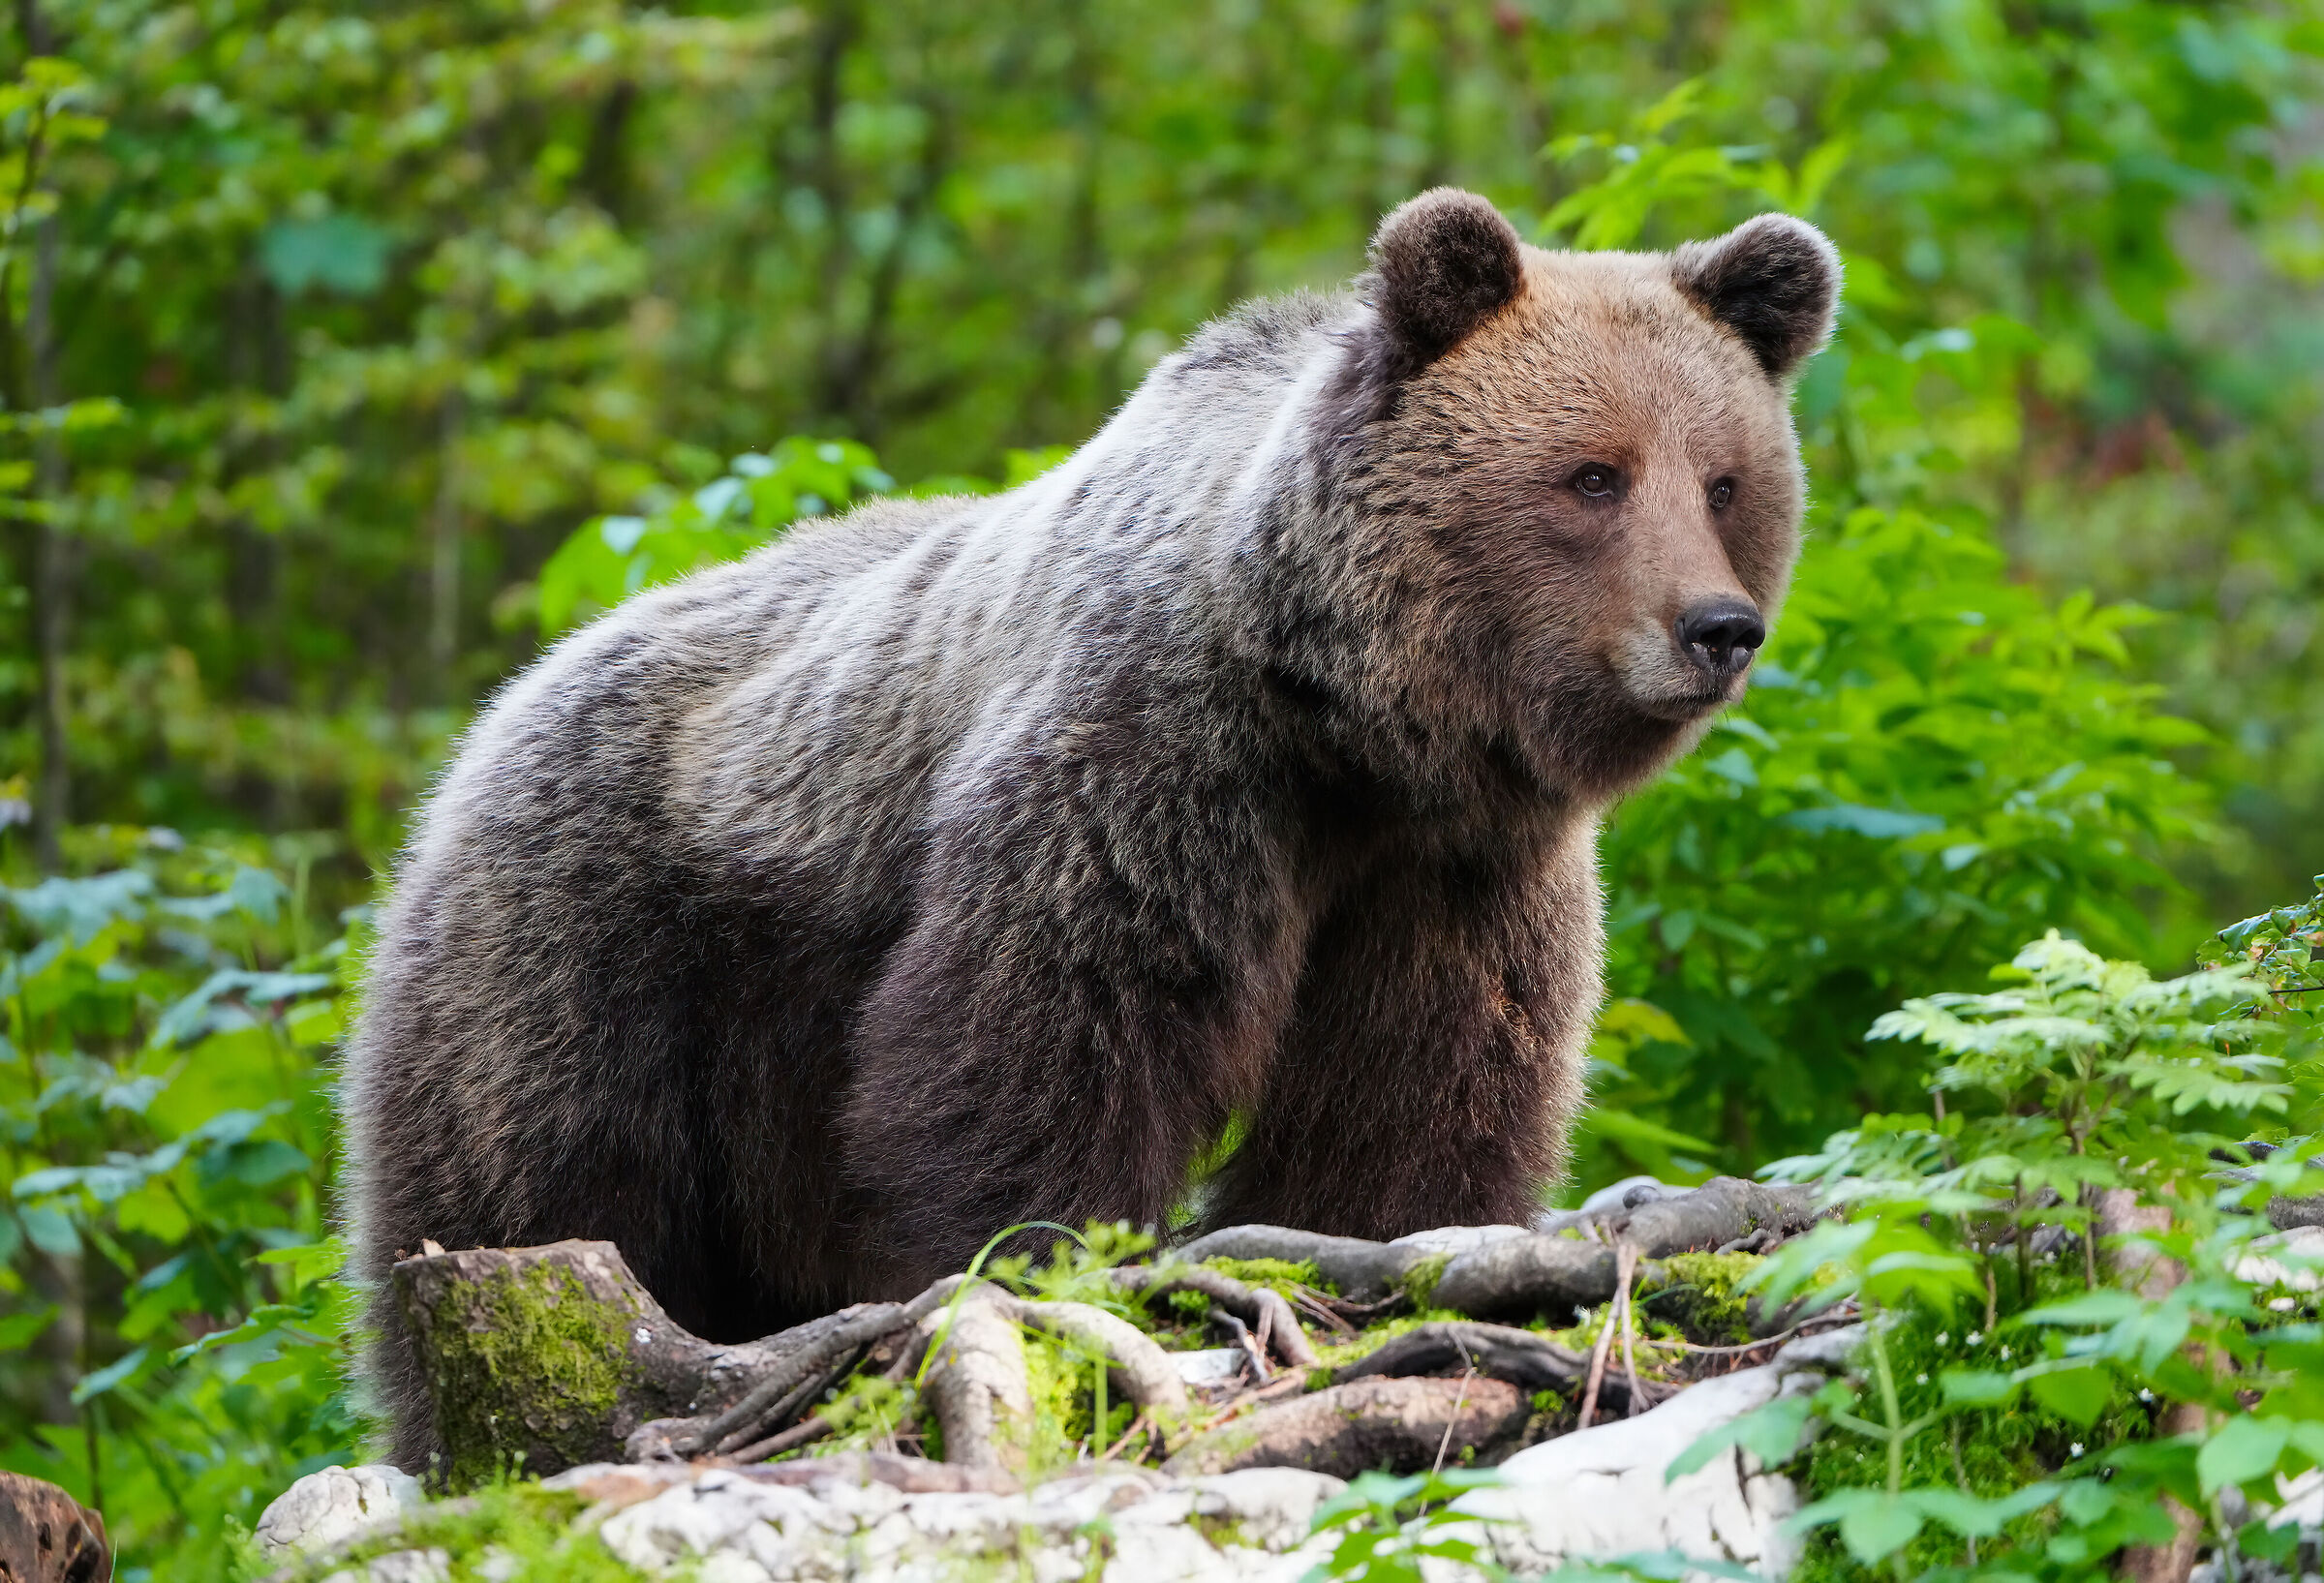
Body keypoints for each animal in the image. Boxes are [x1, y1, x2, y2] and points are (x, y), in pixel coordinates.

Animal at [341, 188, 1839, 1468]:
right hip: (600, 943)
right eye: (1593, 474)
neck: (1350, 724)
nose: (1716, 628)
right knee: (536, 1200)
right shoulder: (1156, 765)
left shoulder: (1452, 867)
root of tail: (507, 699)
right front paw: (1053, 1258)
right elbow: (1053, 1035)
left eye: (1724, 479)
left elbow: (1413, 1093)